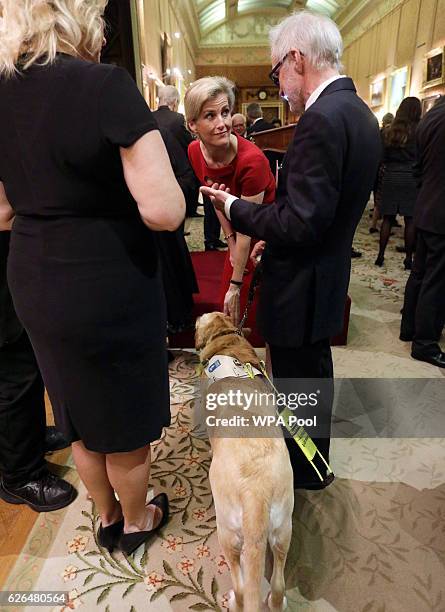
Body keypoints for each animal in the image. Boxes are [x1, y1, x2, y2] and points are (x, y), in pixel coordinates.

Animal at [195, 316, 294, 612]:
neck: (227, 340)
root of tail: (255, 494)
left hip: (227, 533)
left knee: (240, 587)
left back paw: (232, 599)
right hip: (283, 529)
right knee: (278, 585)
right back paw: (278, 600)